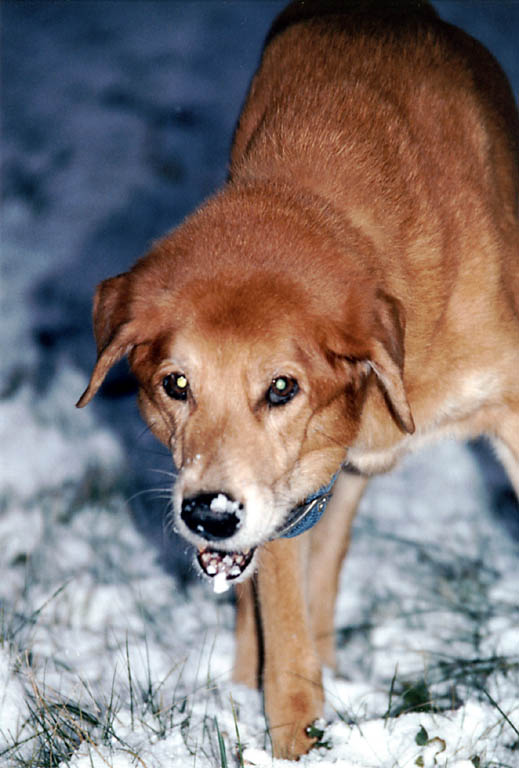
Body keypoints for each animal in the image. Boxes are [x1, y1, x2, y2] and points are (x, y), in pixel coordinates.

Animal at [77, 0, 519, 756]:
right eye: (175, 385)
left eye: (281, 388)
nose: (209, 514)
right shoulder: (286, 497)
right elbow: (282, 624)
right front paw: (294, 738)